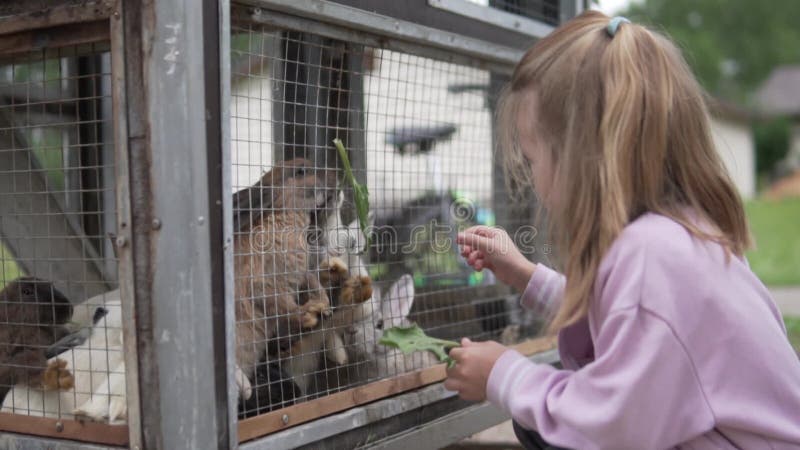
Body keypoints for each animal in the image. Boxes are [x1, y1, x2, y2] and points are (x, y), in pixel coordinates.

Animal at [234, 160, 340, 400]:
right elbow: (284, 306)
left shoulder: (302, 274)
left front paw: (324, 307)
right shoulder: (264, 286)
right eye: (301, 171)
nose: (335, 174)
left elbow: (314, 284)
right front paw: (309, 314)